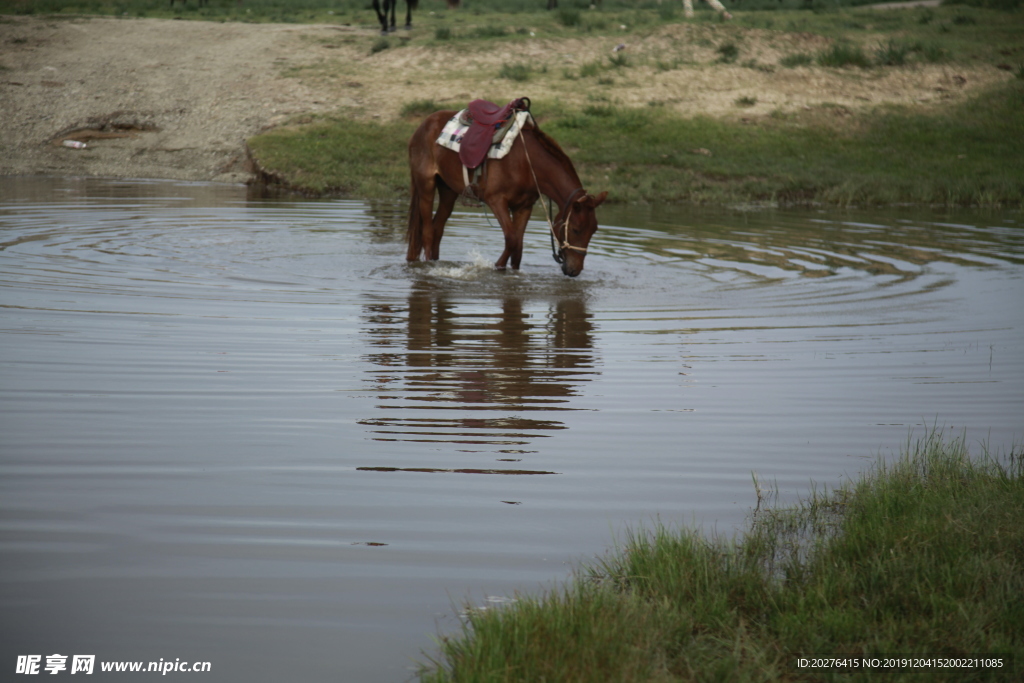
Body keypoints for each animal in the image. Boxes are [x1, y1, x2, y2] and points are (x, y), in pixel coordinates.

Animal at [403, 105, 602, 276]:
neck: (526, 163)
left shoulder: (524, 207)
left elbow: (518, 247)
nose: (575, 270)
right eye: (575, 230)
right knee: (428, 232)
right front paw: (497, 267)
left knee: (438, 228)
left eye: (593, 230)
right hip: (426, 185)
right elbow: (511, 239)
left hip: (448, 191)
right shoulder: (497, 201)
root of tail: (424, 124)